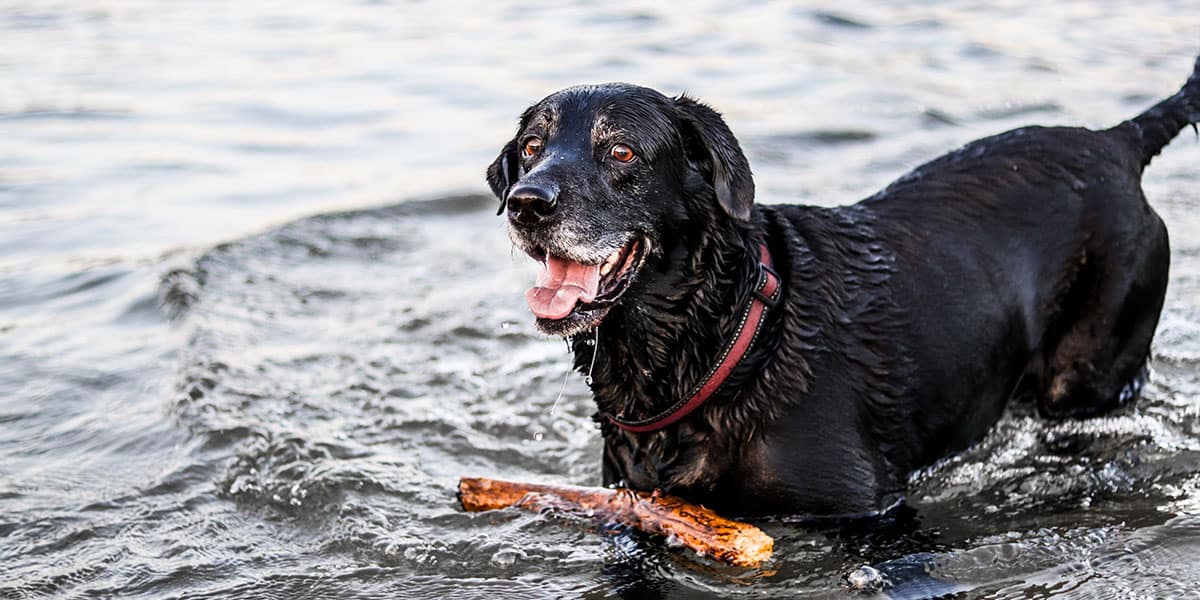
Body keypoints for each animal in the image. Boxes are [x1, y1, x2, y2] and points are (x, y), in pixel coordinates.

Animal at [482, 54, 1195, 518]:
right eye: (531, 148)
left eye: (622, 151)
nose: (526, 203)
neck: (724, 338)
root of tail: (1117, 142)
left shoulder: (872, 510)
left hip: (1089, 370)